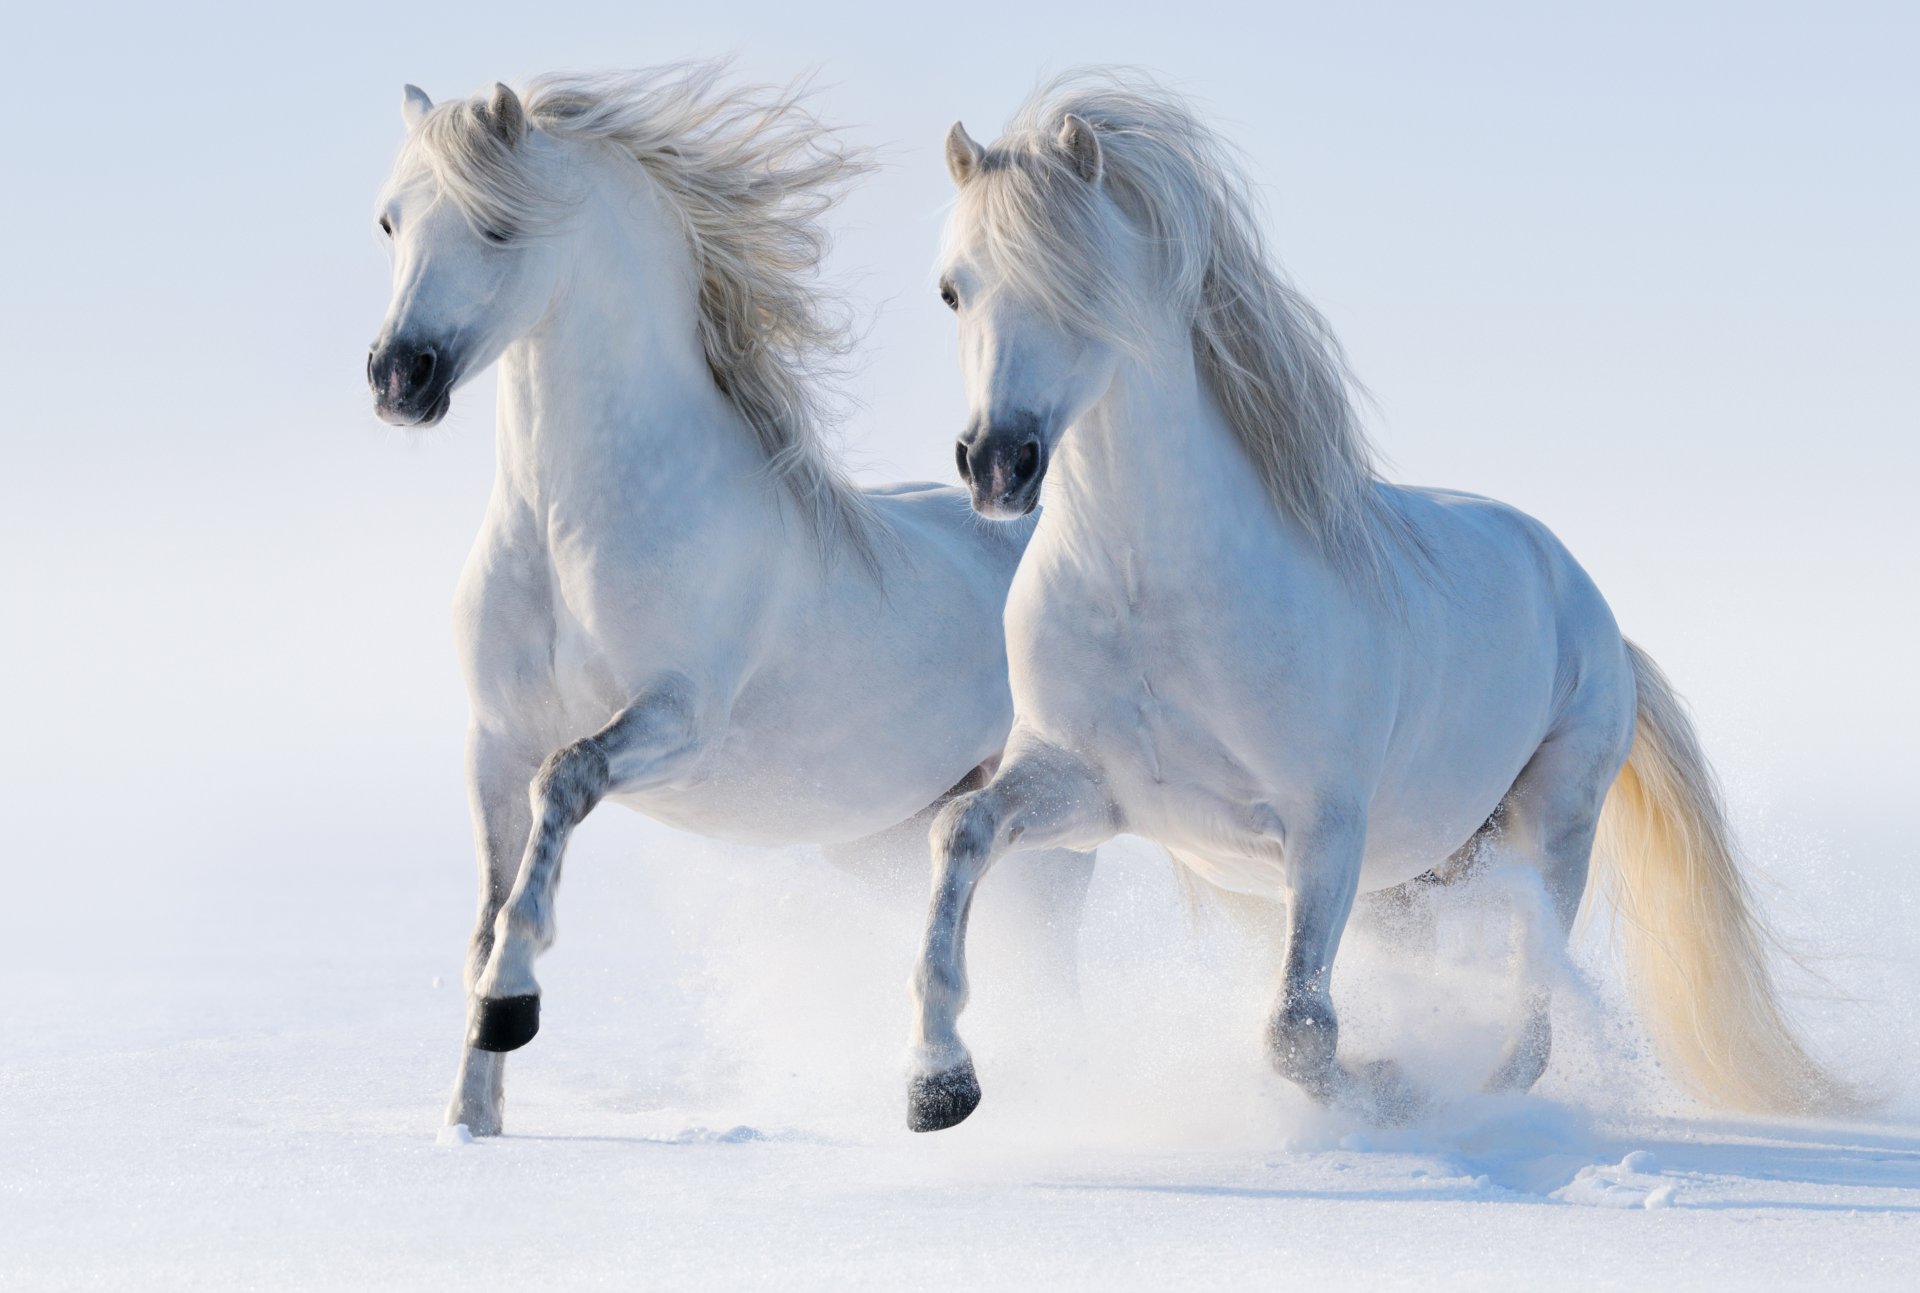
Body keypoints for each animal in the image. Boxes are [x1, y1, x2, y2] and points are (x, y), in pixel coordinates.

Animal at [365, 66, 1091, 1137]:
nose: (398, 377)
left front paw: (512, 1006)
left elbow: (564, 786)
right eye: (390, 221)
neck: (568, 526)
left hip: (1052, 830)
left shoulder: (677, 719)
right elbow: (485, 914)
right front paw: (471, 1120)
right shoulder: (492, 740)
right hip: (882, 840)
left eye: (497, 226)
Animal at [905, 68, 1855, 1131]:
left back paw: (1475, 1098)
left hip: (1548, 828)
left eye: (1080, 283)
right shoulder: (1086, 788)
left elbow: (1299, 1032)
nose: (998, 463)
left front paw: (1390, 1086)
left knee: (1530, 1020)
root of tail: (1595, 612)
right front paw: (938, 1082)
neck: (1152, 593)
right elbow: (959, 830)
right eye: (953, 289)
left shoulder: (1325, 828)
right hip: (1412, 879)